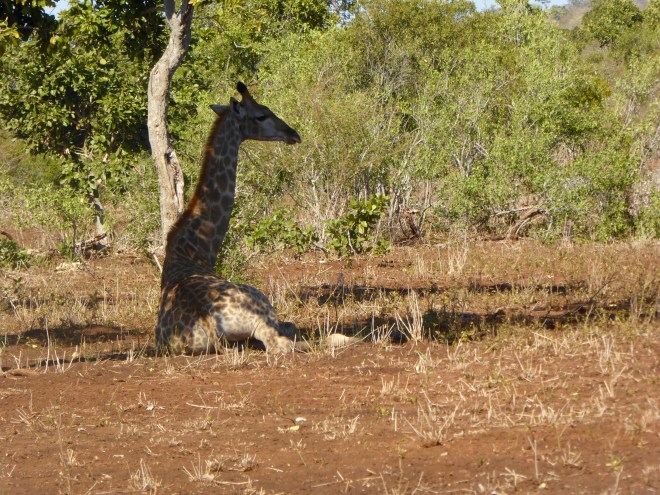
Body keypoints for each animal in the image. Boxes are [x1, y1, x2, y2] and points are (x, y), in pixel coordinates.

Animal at [155, 82, 304, 354]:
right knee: (282, 340)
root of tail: (210, 323)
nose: (293, 134)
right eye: (261, 115)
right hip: (262, 312)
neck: (193, 252)